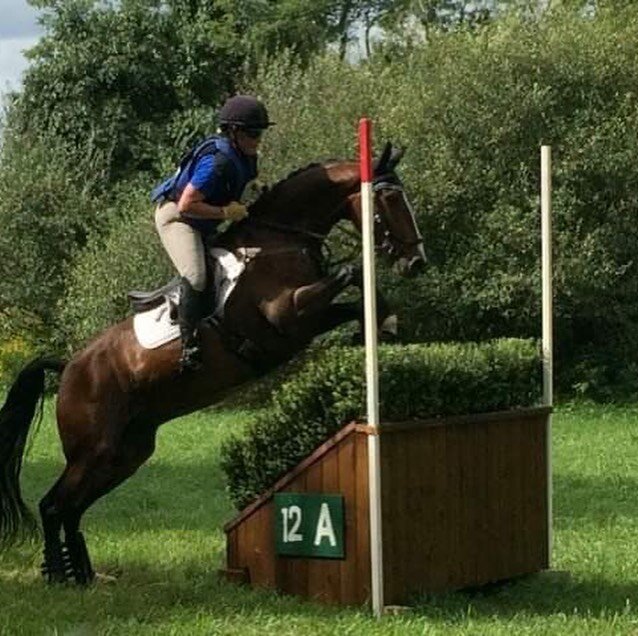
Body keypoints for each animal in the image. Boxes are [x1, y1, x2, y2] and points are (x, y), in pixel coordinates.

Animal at [1, 140, 430, 588]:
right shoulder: (287, 314)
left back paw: (83, 576)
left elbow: (353, 298)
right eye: (390, 197)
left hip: (126, 452)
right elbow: (349, 272)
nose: (417, 260)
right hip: (93, 449)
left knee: (72, 508)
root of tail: (69, 366)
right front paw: (378, 315)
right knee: (53, 505)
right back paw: (57, 575)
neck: (280, 239)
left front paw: (381, 322)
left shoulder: (305, 322)